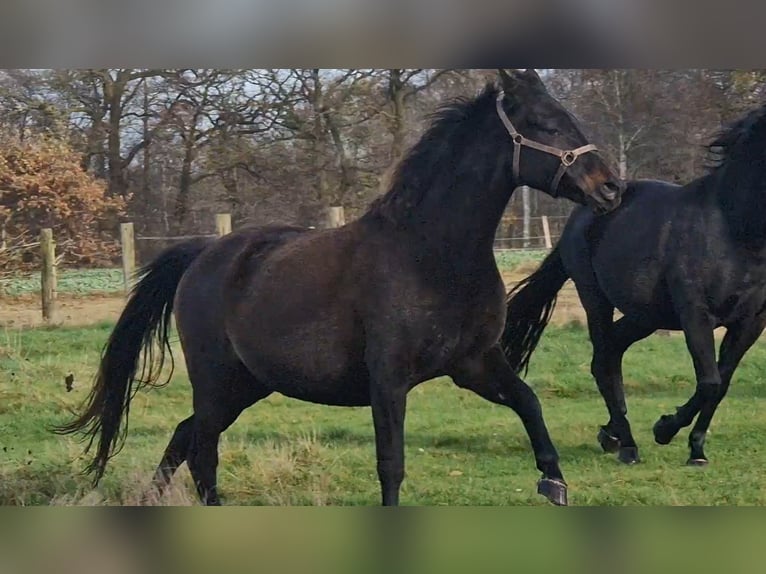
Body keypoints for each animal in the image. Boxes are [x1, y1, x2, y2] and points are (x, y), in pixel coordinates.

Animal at [500, 104, 766, 468]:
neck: (732, 228)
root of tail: (586, 212)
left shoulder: (750, 323)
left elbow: (721, 384)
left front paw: (696, 450)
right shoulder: (696, 314)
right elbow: (710, 381)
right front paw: (664, 429)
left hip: (647, 315)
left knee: (610, 352)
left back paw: (610, 435)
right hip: (595, 298)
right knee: (603, 361)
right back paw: (627, 445)